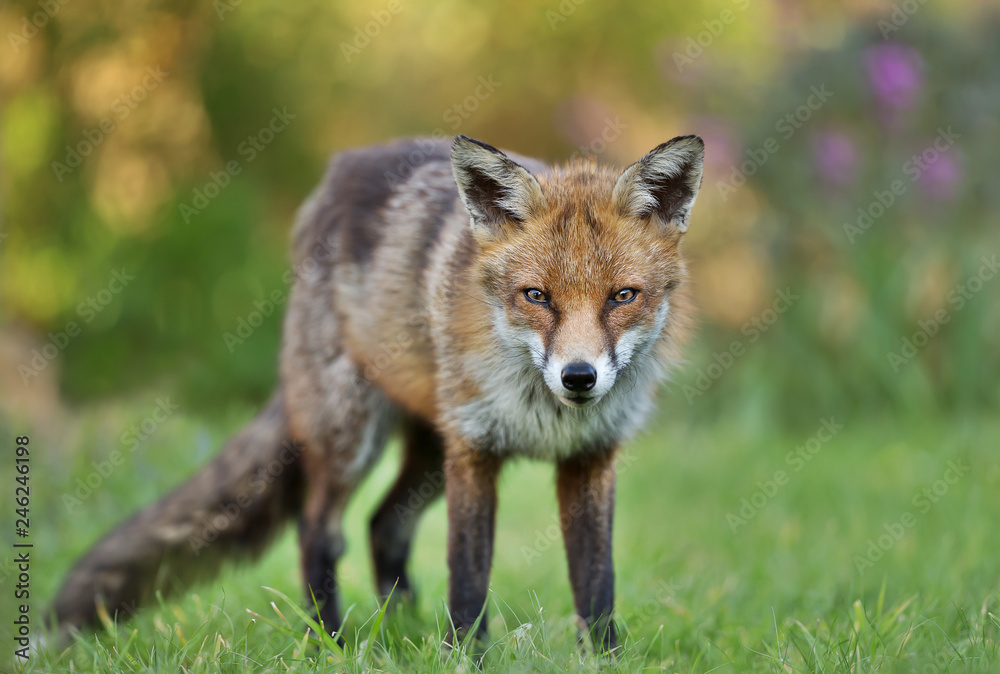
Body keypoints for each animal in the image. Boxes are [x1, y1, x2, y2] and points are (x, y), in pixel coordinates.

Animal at [50, 133, 704, 653]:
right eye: (536, 296)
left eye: (623, 297)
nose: (578, 377)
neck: (547, 417)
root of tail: (337, 173)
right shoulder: (474, 451)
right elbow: (468, 580)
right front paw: (464, 656)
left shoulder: (589, 459)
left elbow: (597, 585)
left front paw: (604, 659)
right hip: (353, 435)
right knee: (320, 531)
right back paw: (329, 642)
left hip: (428, 450)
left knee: (383, 524)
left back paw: (402, 628)